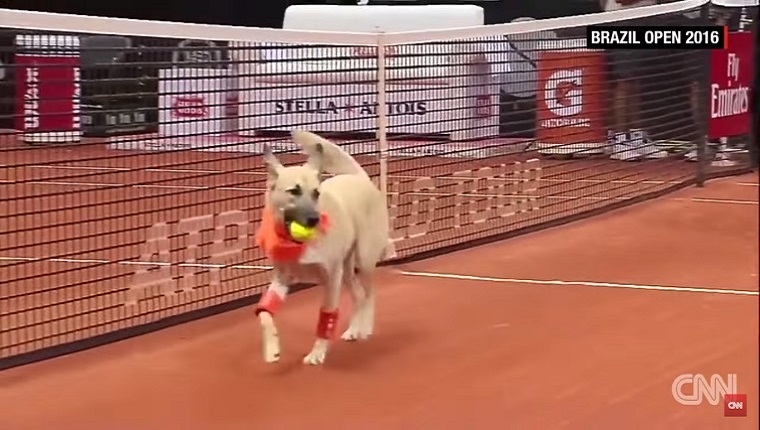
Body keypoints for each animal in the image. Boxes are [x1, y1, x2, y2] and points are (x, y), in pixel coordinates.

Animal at [256, 129, 394, 364]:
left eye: (316, 193)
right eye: (294, 191)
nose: (314, 219)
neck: (299, 244)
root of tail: (359, 177)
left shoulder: (331, 280)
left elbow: (325, 319)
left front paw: (317, 353)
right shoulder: (281, 279)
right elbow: (265, 313)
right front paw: (271, 348)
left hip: (363, 261)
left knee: (369, 294)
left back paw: (365, 328)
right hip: (346, 271)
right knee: (359, 295)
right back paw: (353, 329)